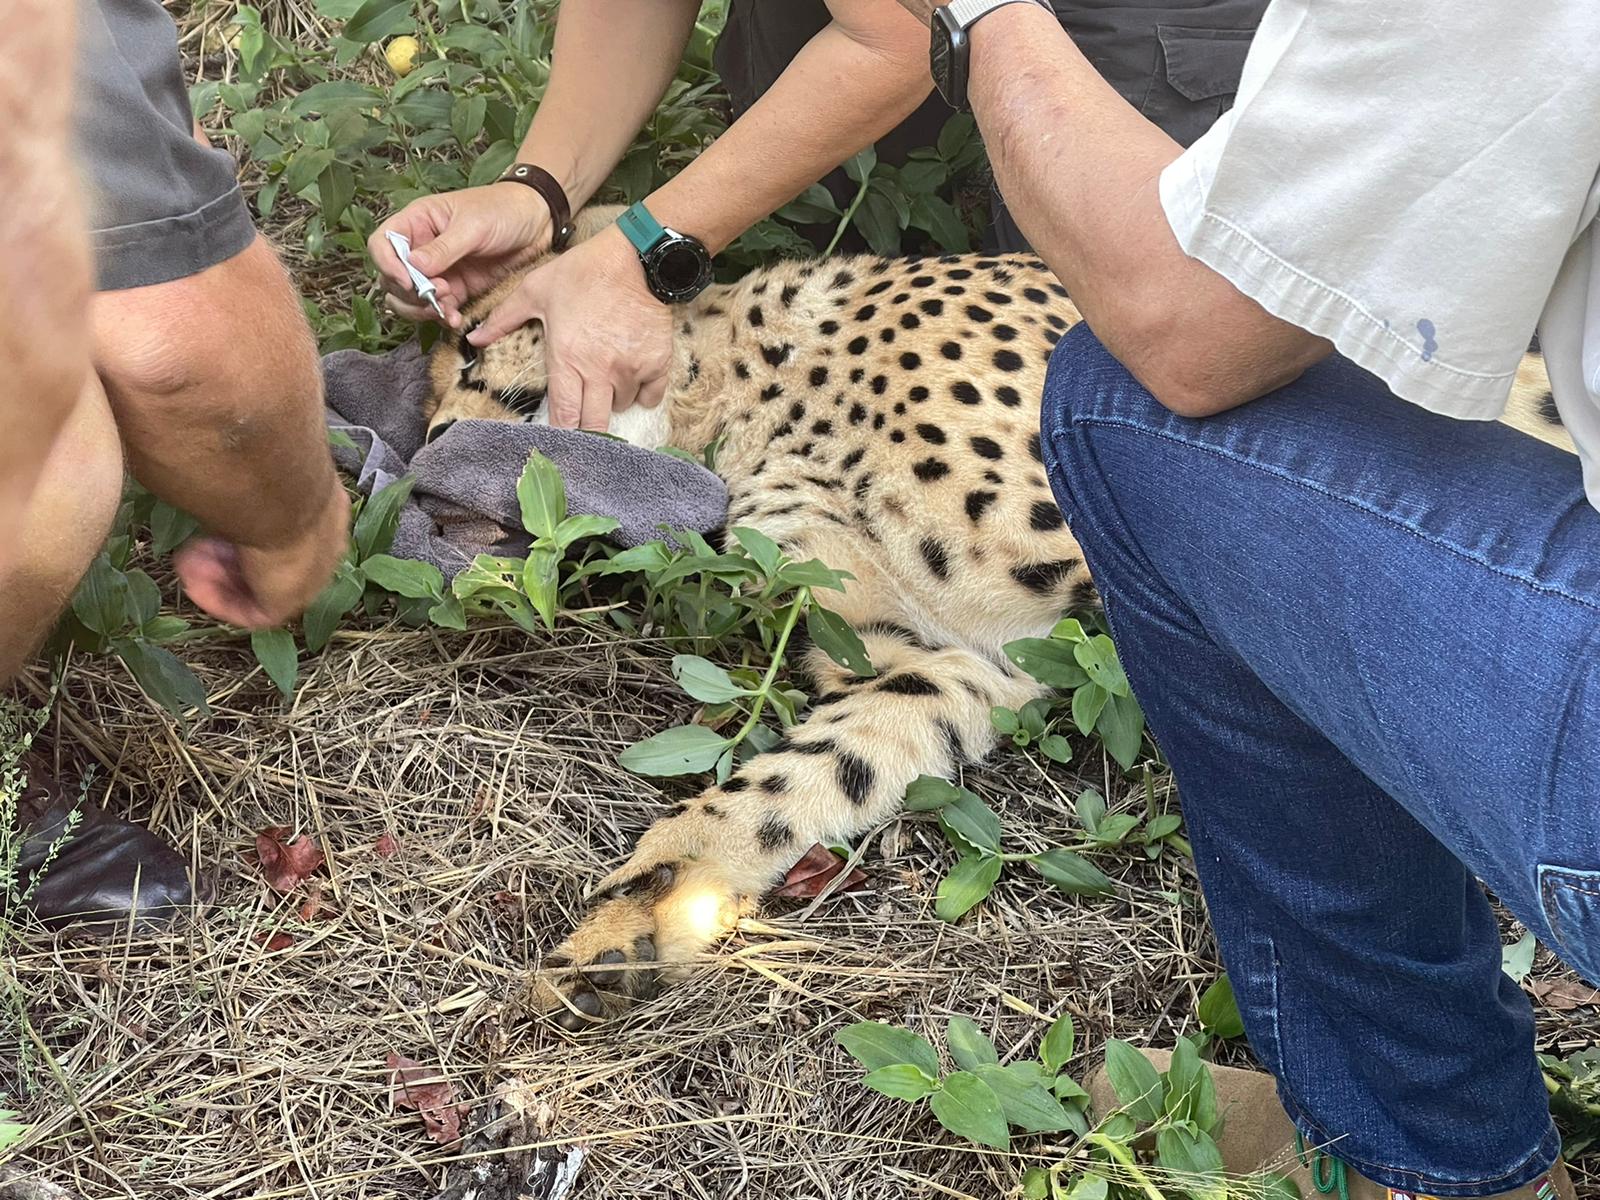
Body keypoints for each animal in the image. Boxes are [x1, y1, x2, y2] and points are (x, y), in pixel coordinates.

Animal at [424, 206, 1574, 1030]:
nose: (426, 451)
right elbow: (812, 768)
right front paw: (652, 904)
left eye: (473, 360)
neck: (749, 388)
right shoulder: (967, 660)